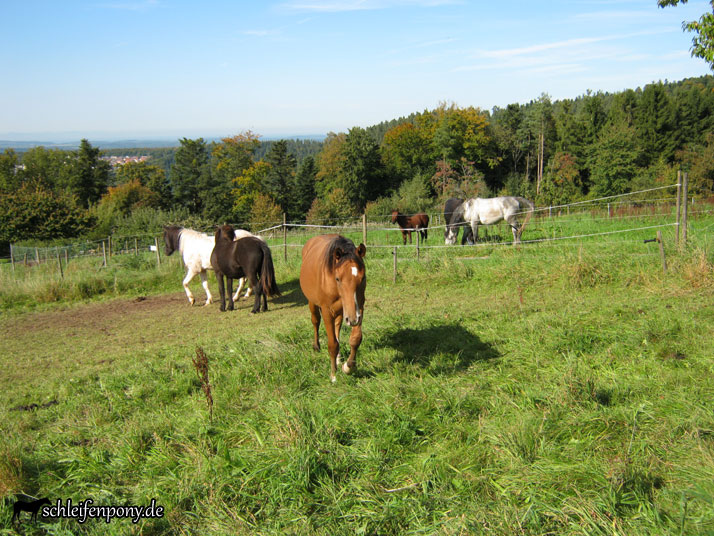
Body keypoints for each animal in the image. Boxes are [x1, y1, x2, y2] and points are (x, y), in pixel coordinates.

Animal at [300, 234, 368, 382]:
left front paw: (348, 367)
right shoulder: (327, 311)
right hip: (312, 303)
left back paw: (338, 358)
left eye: (362, 278)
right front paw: (333, 375)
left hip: (341, 312)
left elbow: (355, 339)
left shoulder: (359, 308)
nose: (352, 319)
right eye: (338, 279)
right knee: (315, 321)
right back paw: (316, 346)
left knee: (337, 328)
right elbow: (332, 344)